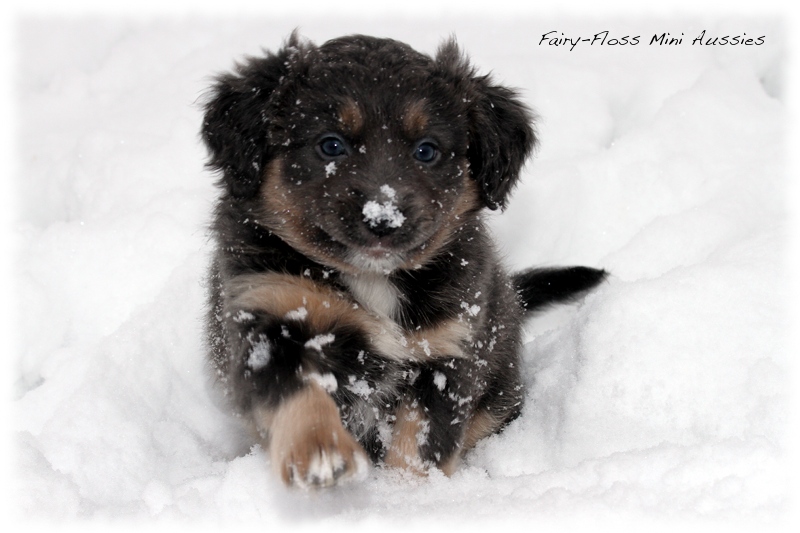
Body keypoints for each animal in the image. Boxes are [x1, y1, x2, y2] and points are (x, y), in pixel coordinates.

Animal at [202, 33, 608, 488]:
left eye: (426, 151)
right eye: (331, 145)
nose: (383, 218)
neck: (372, 277)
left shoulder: (447, 353)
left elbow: (420, 445)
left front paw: (409, 495)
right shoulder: (270, 319)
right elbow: (300, 392)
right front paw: (320, 451)